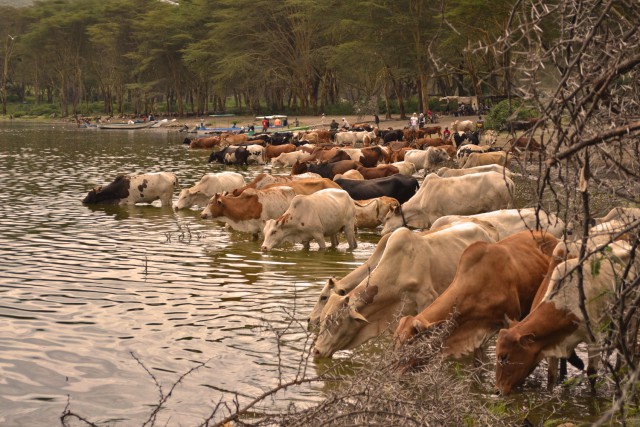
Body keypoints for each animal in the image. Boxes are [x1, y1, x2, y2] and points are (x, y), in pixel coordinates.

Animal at [496, 241, 636, 394]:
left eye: (504, 356)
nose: (497, 391)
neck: (564, 306)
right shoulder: (552, 344)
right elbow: (552, 376)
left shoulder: (594, 340)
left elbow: (591, 374)